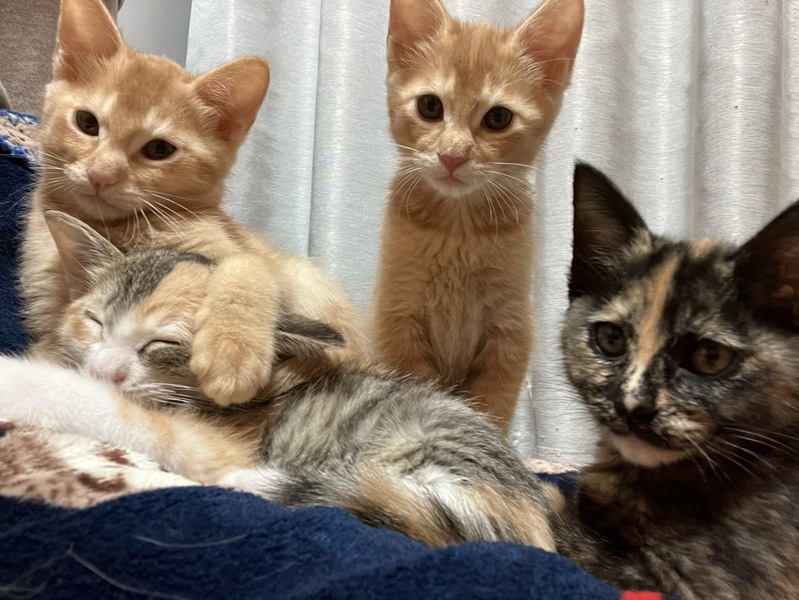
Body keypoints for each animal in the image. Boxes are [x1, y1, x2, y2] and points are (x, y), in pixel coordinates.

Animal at [1, 209, 557, 551]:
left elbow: (112, 408)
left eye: (165, 344)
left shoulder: (208, 441)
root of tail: (536, 521)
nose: (105, 368)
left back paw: (255, 483)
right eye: (94, 322)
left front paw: (19, 380)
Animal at [20, 0, 368, 407]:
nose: (101, 174)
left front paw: (231, 350)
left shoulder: (246, 257)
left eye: (159, 149)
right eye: (87, 123)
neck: (123, 228)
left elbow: (247, 265)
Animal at [371, 0, 584, 433]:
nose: (452, 155)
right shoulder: (396, 320)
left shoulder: (512, 331)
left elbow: (491, 410)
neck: (458, 231)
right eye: (430, 107)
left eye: (498, 118)